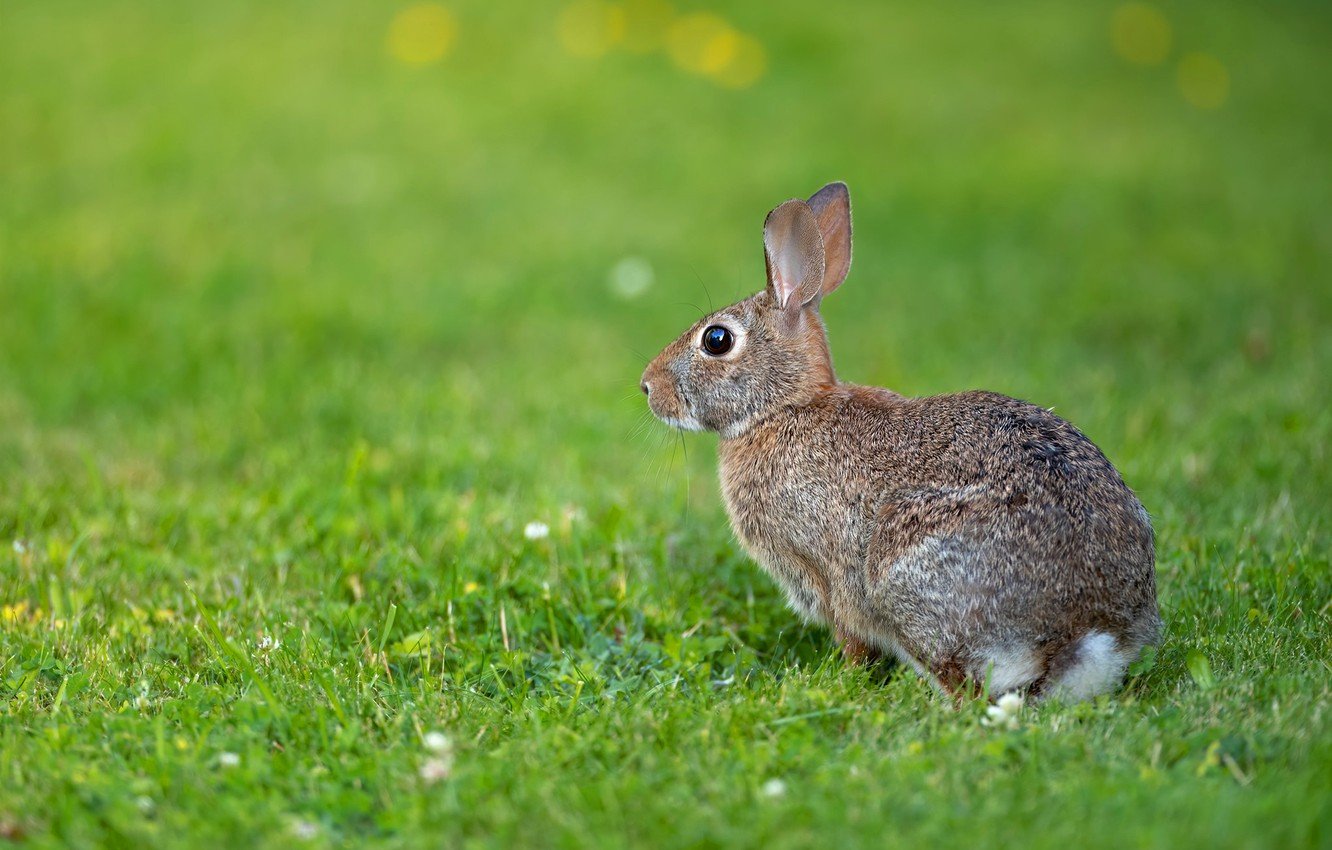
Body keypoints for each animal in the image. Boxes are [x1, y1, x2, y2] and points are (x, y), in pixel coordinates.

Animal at [642, 183, 1156, 703]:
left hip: (900, 573)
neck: (783, 408)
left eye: (717, 340)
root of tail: (1088, 630)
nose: (647, 386)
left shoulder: (830, 576)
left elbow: (852, 639)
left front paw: (843, 679)